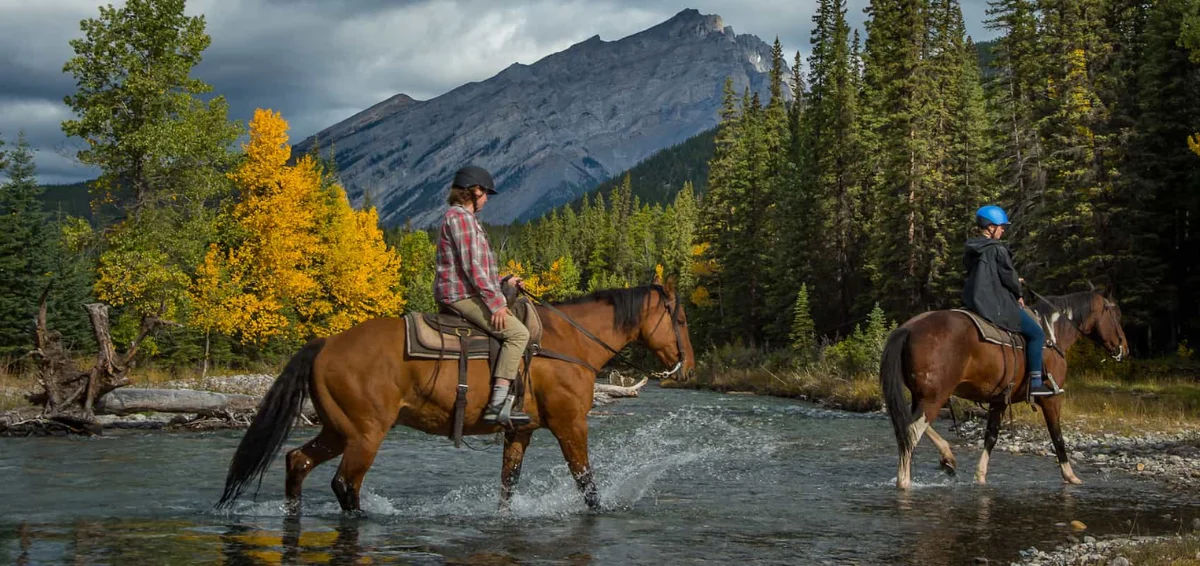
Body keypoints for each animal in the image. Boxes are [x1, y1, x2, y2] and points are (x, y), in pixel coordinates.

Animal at [216, 280, 696, 510]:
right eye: (681, 320)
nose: (688, 366)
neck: (570, 344)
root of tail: (325, 344)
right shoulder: (569, 425)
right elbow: (587, 485)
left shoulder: (521, 431)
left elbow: (507, 486)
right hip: (366, 433)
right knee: (344, 484)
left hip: (338, 429)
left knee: (297, 462)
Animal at [883, 290, 1123, 489]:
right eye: (1115, 316)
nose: (1124, 348)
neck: (1052, 335)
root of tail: (908, 328)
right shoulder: (1051, 399)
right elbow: (1057, 437)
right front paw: (1070, 476)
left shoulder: (999, 400)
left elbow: (991, 436)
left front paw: (980, 476)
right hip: (934, 398)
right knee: (912, 431)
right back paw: (904, 481)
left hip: (922, 397)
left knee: (907, 426)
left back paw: (948, 458)